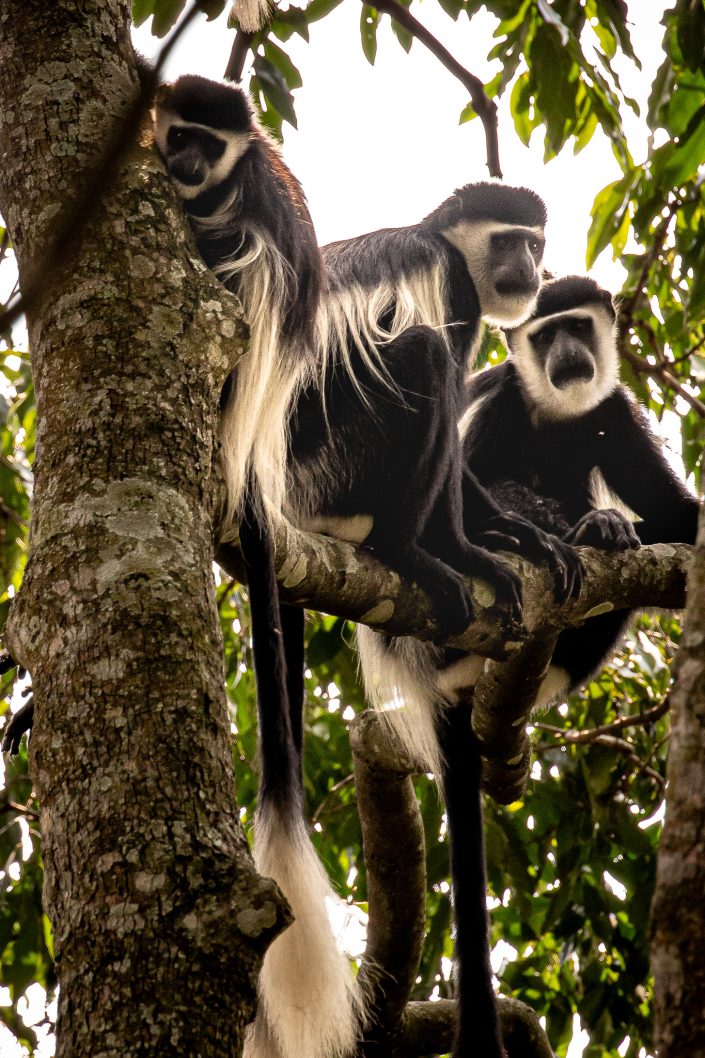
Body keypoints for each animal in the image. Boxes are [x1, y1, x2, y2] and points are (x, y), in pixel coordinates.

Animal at [356, 274, 700, 1058]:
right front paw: (555, 524)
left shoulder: (612, 411)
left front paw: (607, 525)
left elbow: (676, 518)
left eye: (577, 327)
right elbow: (461, 492)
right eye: (544, 335)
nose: (568, 354)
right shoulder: (499, 406)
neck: (553, 412)